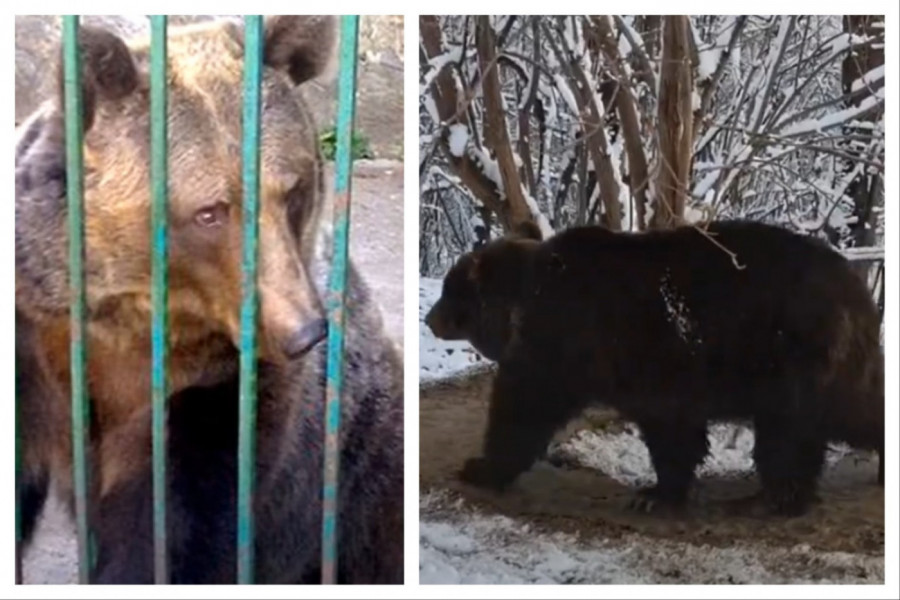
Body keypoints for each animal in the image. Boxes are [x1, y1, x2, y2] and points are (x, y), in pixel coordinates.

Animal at [15, 16, 402, 584]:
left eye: (294, 189)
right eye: (210, 212)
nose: (305, 331)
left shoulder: (219, 396)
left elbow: (175, 532)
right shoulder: (35, 349)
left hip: (358, 477)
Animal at [426, 220, 884, 516]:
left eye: (450, 290)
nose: (430, 318)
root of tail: (856, 286)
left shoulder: (574, 343)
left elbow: (525, 407)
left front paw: (481, 467)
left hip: (788, 353)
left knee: (793, 429)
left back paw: (767, 498)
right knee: (846, 412)